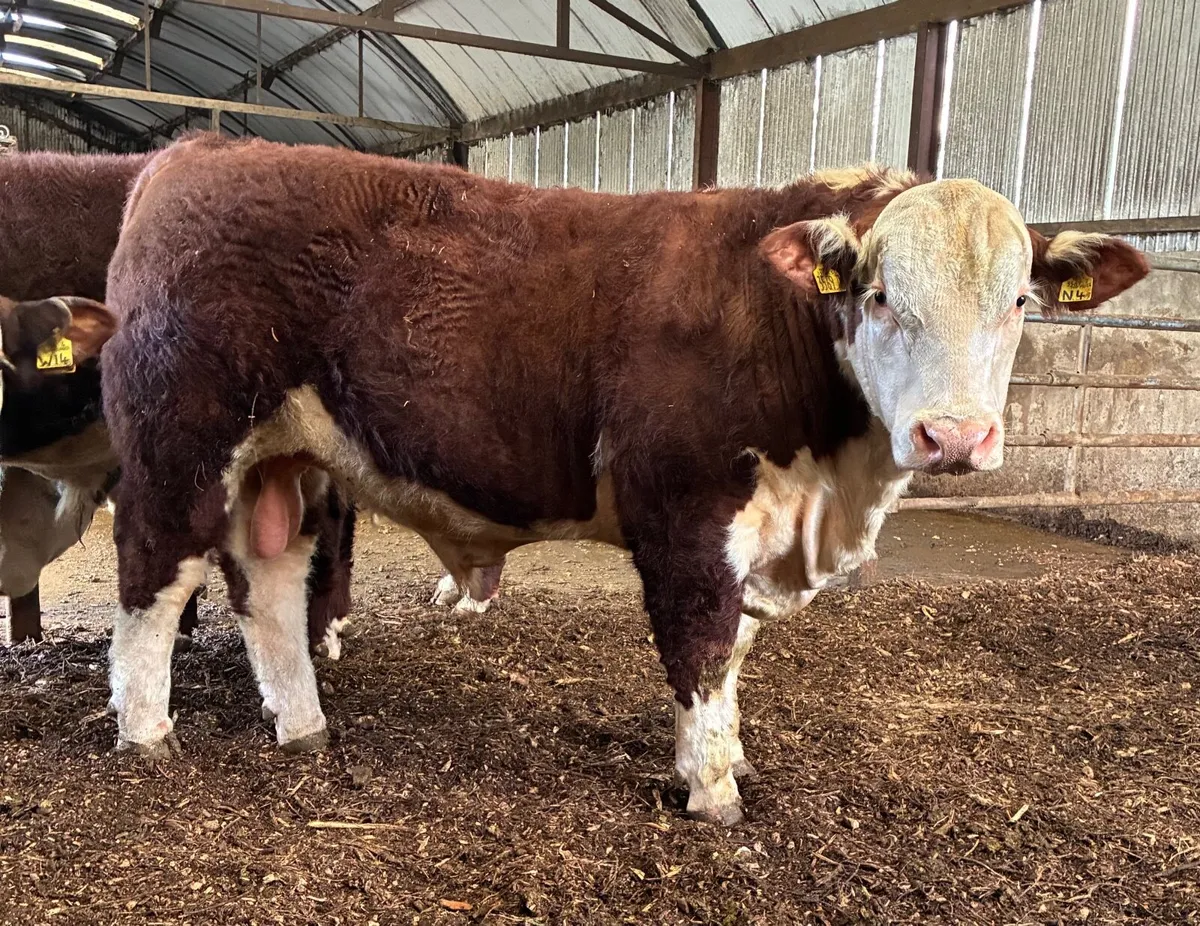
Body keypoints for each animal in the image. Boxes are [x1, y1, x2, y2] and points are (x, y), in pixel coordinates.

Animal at [100, 135, 1148, 823]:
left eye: (1019, 303)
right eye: (882, 295)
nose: (954, 435)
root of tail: (196, 149)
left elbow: (735, 652)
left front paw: (729, 758)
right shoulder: (685, 516)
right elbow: (701, 647)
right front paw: (711, 792)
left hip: (285, 460)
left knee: (269, 587)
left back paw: (304, 726)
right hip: (177, 443)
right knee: (155, 578)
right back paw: (147, 736)